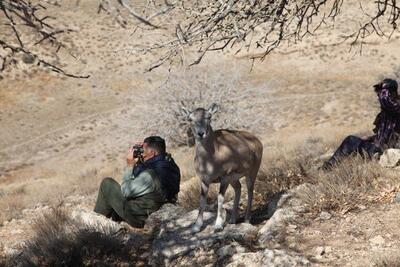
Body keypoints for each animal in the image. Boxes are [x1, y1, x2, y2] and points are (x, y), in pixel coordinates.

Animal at [181, 103, 262, 233]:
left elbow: (219, 199)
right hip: (234, 179)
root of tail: (257, 141)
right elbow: (202, 201)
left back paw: (246, 219)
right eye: (190, 119)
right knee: (238, 188)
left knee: (250, 191)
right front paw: (196, 227)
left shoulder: (224, 179)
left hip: (251, 173)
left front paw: (218, 226)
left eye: (209, 117)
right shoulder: (204, 181)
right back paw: (232, 220)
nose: (201, 133)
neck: (210, 160)